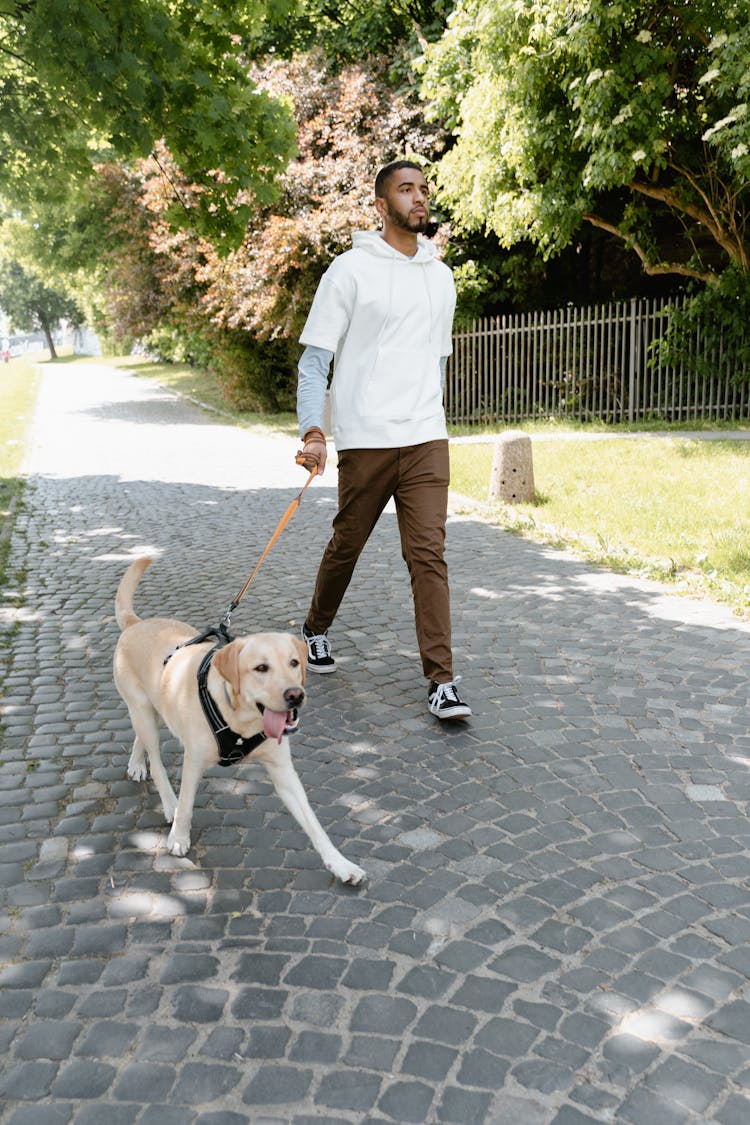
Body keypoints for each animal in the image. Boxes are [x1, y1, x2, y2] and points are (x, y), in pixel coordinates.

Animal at [113, 558, 364, 882]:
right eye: (261, 668)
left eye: (294, 663)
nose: (295, 695)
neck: (243, 719)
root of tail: (136, 623)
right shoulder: (194, 761)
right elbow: (187, 805)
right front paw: (179, 837)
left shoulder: (283, 771)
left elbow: (313, 823)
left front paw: (341, 864)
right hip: (143, 710)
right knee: (155, 761)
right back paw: (168, 802)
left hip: (153, 710)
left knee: (140, 737)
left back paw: (135, 763)